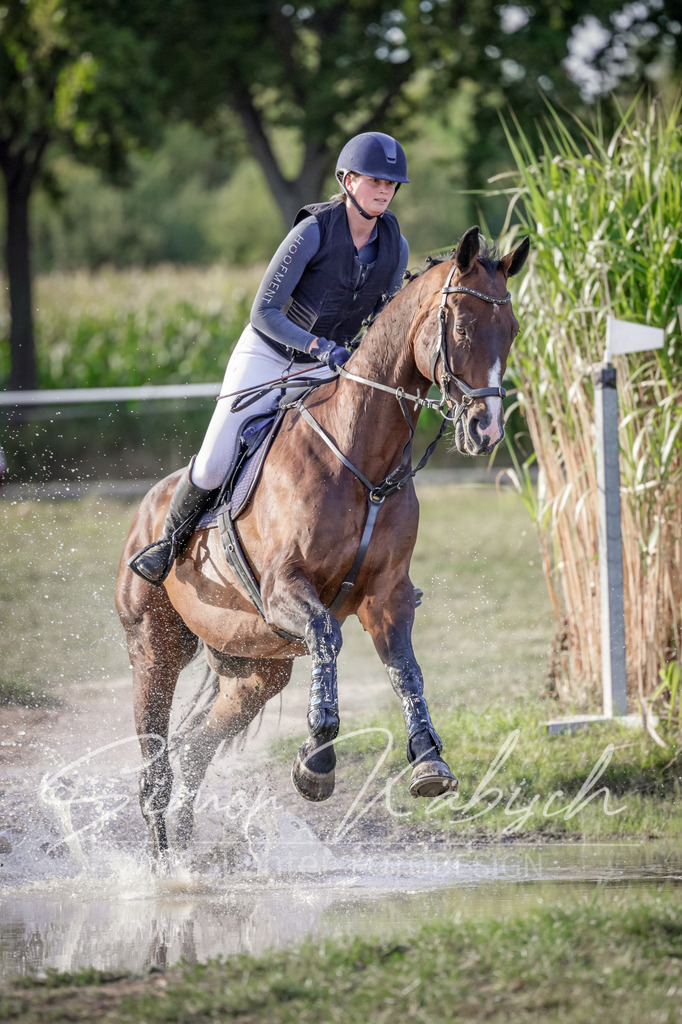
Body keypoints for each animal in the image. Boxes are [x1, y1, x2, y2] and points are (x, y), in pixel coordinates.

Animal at [115, 226, 529, 857]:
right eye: (460, 328)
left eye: (511, 331)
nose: (485, 431)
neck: (362, 458)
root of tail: (145, 509)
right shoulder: (285, 588)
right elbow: (327, 636)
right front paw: (317, 762)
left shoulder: (387, 596)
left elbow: (406, 669)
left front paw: (428, 760)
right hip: (155, 650)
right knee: (156, 762)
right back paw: (162, 858)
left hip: (253, 669)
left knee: (194, 750)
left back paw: (185, 846)